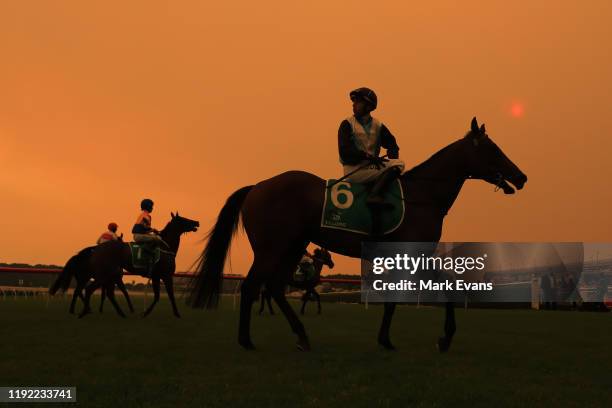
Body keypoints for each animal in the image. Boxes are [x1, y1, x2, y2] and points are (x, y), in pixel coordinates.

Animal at [189, 118, 528, 350]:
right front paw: (443, 337)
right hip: (272, 247)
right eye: (494, 149)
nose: (521, 176)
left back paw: (301, 335)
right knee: (252, 287)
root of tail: (258, 186)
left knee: (272, 286)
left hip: (292, 246)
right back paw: (247, 340)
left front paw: (387, 338)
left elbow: (399, 296)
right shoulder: (414, 252)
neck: (422, 196)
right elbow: (438, 286)